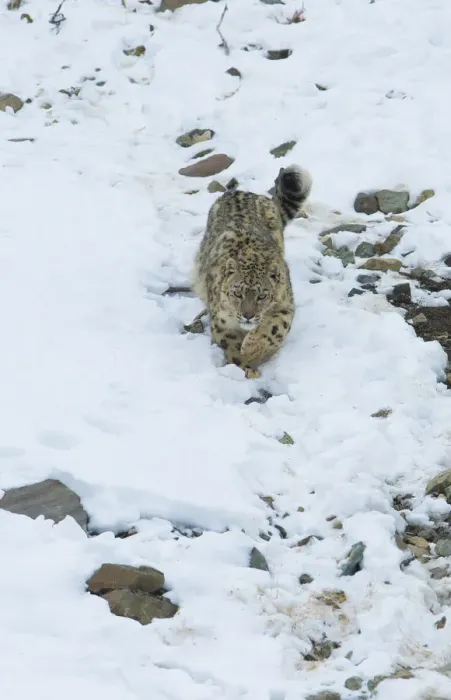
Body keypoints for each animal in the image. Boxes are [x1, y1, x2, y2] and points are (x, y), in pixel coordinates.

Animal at [190, 164, 312, 378]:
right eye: (237, 293)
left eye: (262, 296)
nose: (248, 315)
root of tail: (244, 192)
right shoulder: (222, 320)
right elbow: (231, 345)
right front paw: (245, 366)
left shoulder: (285, 305)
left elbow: (275, 328)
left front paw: (252, 348)